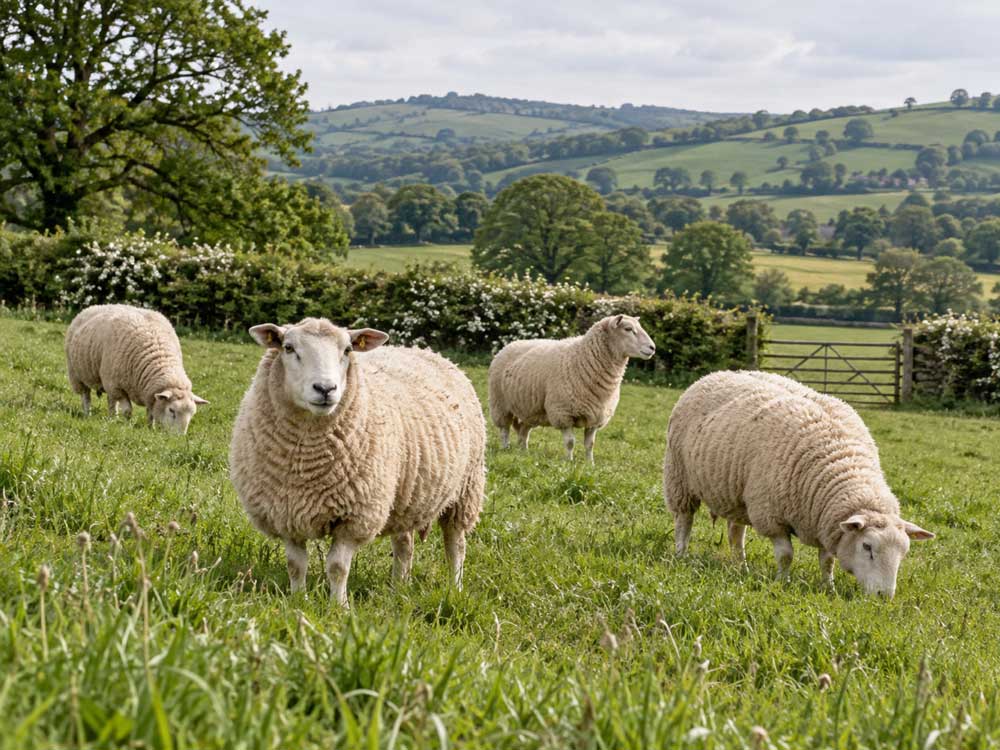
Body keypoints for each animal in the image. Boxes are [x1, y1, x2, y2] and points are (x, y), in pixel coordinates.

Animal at [65, 304, 208, 434]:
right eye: (171, 410)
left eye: (192, 414)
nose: (178, 438)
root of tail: (93, 307)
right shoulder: (118, 387)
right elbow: (128, 411)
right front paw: (127, 425)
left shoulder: (150, 394)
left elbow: (151, 413)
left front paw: (151, 428)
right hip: (78, 375)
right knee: (86, 396)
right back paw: (88, 414)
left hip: (107, 381)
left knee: (111, 401)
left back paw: (111, 418)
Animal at [229, 317, 486, 606]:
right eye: (288, 347)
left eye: (348, 350)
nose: (326, 389)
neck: (305, 461)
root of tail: (427, 351)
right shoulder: (286, 513)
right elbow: (296, 565)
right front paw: (298, 601)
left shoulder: (355, 517)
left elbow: (337, 567)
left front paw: (338, 607)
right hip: (405, 496)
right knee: (404, 544)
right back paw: (399, 588)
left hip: (465, 490)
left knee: (456, 545)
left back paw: (455, 588)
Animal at [488, 314, 655, 463]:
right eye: (628, 329)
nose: (652, 348)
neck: (582, 358)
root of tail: (511, 344)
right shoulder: (563, 413)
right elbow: (570, 442)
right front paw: (569, 462)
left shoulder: (596, 416)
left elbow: (590, 444)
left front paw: (590, 464)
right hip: (500, 404)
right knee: (504, 430)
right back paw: (505, 448)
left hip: (531, 409)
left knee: (524, 431)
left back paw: (524, 452)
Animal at [663, 370, 934, 597]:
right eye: (867, 546)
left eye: (904, 553)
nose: (884, 596)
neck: (845, 465)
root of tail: (715, 374)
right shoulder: (771, 516)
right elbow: (786, 555)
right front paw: (782, 582)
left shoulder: (827, 524)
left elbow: (827, 561)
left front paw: (828, 587)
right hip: (679, 478)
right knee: (684, 520)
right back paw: (681, 554)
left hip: (735, 494)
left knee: (735, 534)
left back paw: (741, 566)